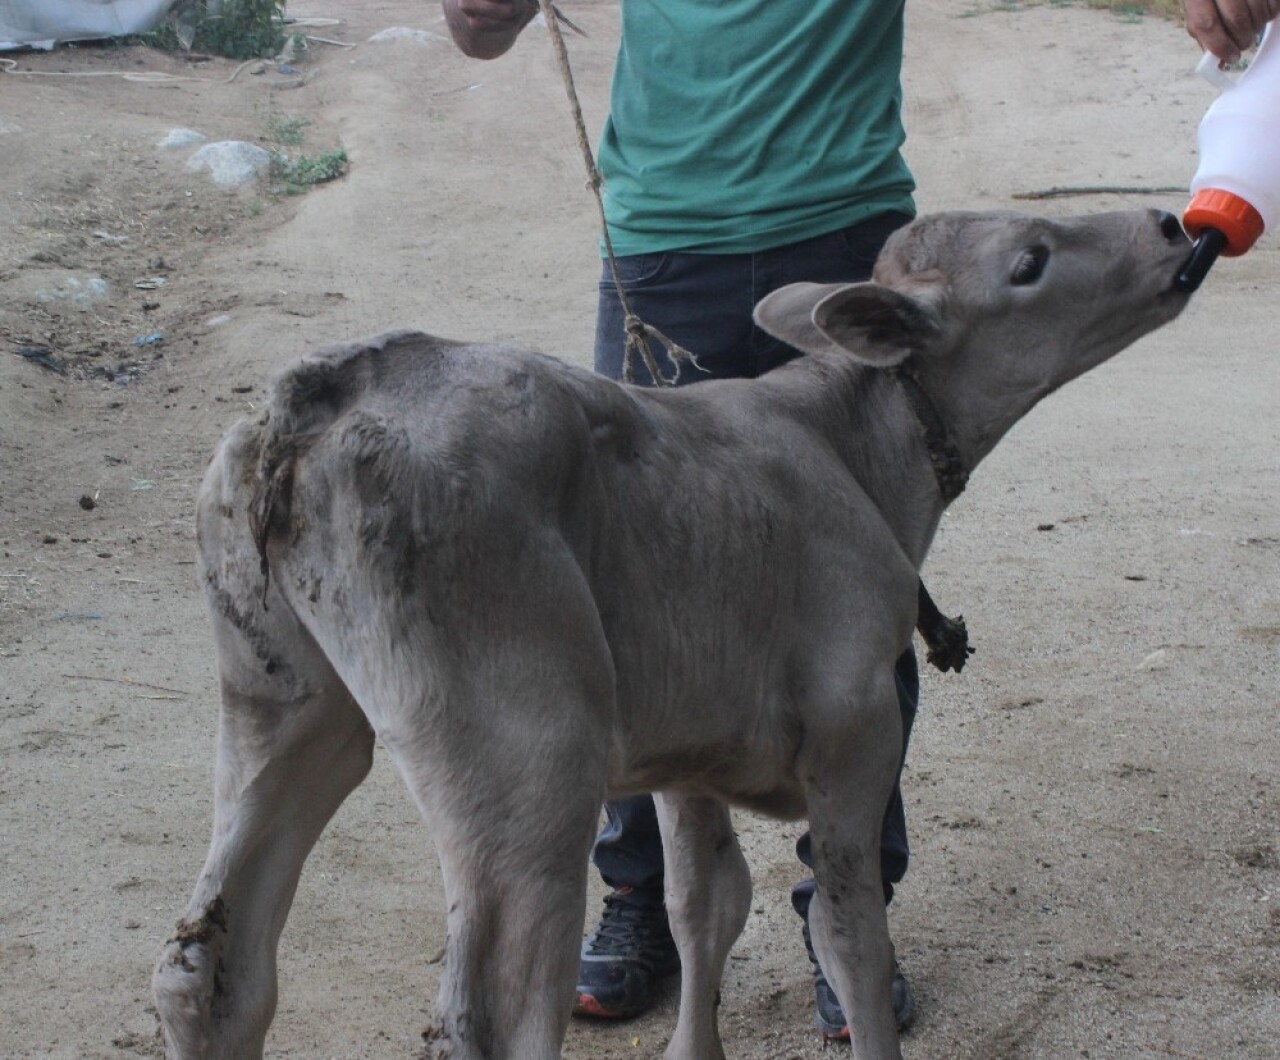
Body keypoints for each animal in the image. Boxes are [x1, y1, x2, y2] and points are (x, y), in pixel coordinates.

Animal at [154, 208, 1192, 1060]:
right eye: (1030, 259)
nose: (1173, 223)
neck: (855, 449)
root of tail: (315, 395)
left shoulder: (690, 749)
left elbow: (706, 904)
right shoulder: (856, 726)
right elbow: (848, 935)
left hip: (286, 700)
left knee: (208, 966)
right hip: (527, 754)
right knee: (495, 1012)